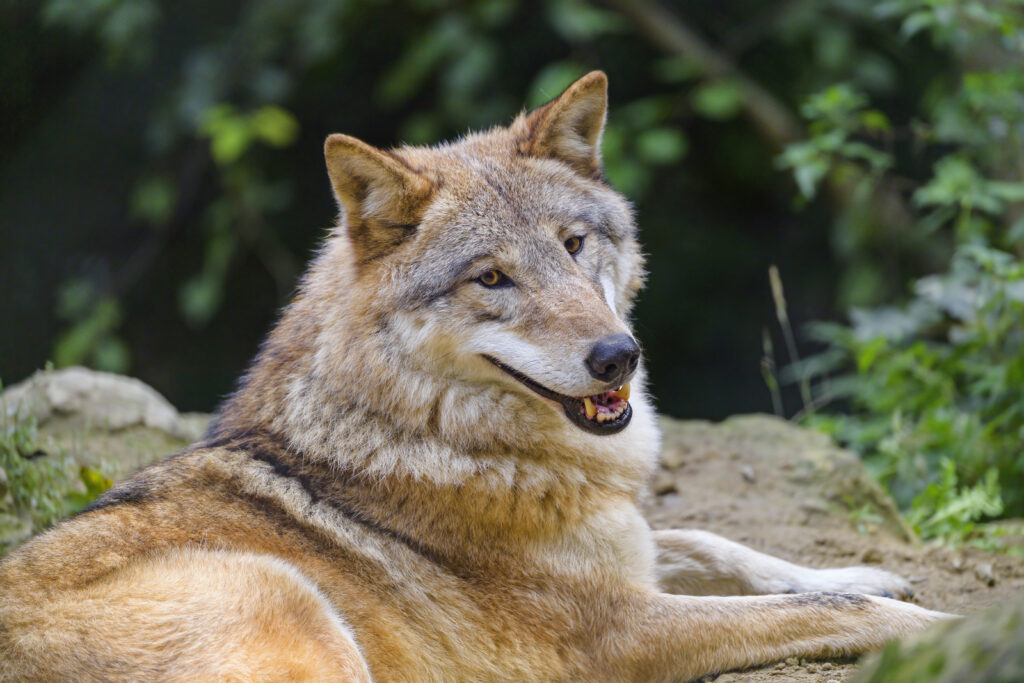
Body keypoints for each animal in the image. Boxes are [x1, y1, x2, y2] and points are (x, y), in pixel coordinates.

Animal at [0, 72, 947, 681]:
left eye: (573, 244)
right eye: (492, 278)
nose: (619, 357)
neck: (437, 433)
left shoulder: (629, 552)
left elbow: (722, 542)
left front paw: (863, 570)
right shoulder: (617, 632)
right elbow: (834, 615)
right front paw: (942, 624)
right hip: (294, 609)